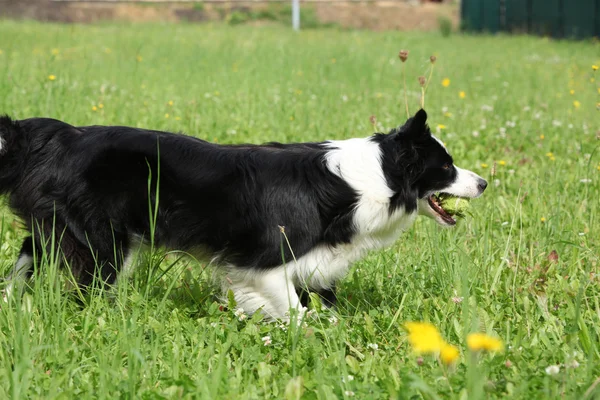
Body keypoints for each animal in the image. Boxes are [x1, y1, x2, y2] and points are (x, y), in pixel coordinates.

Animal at [0, 110, 488, 318]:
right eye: (446, 166)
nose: (484, 182)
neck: (375, 175)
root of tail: (60, 136)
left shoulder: (315, 263)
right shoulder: (265, 261)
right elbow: (295, 309)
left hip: (61, 229)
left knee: (27, 253)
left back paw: (10, 301)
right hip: (106, 242)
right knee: (90, 287)